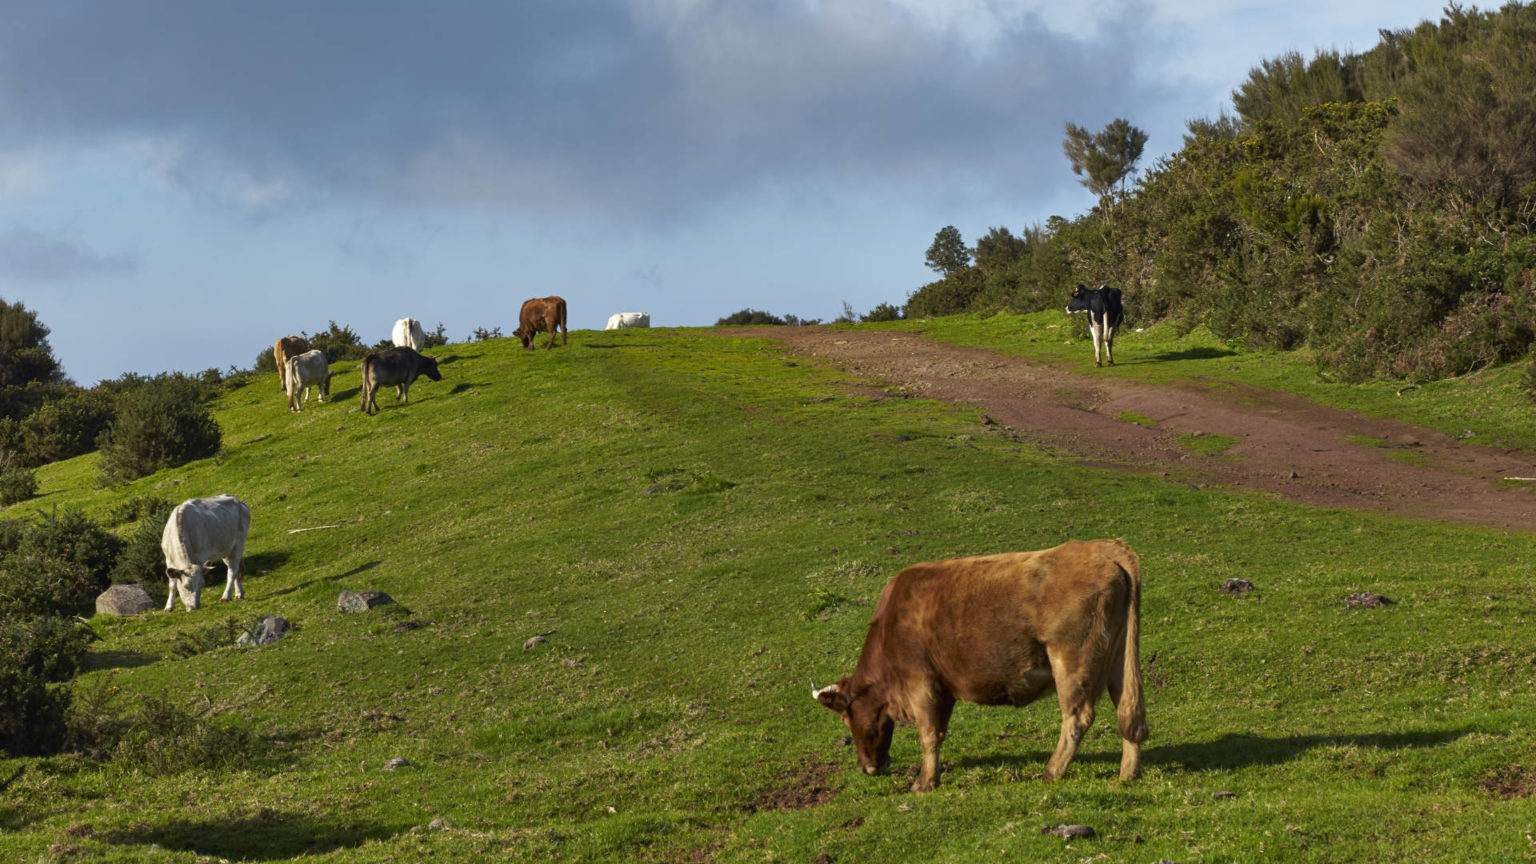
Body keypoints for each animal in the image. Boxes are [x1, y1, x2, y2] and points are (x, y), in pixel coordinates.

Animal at [811, 541, 1148, 793]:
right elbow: (939, 732)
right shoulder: (943, 690)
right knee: (1128, 710)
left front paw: (924, 784)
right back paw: (1127, 774)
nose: (867, 768)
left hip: (1070, 658)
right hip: (1119, 658)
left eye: (846, 719)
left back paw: (1051, 771)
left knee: (1078, 717)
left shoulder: (921, 683)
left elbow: (928, 734)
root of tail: (1104, 548)